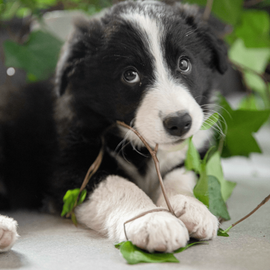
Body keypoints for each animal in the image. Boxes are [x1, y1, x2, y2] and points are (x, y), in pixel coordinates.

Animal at [0, 0, 228, 253]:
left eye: (184, 63)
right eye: (130, 75)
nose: (179, 122)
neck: (141, 145)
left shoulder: (194, 153)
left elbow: (181, 175)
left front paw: (192, 208)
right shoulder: (72, 169)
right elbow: (120, 186)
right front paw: (154, 221)